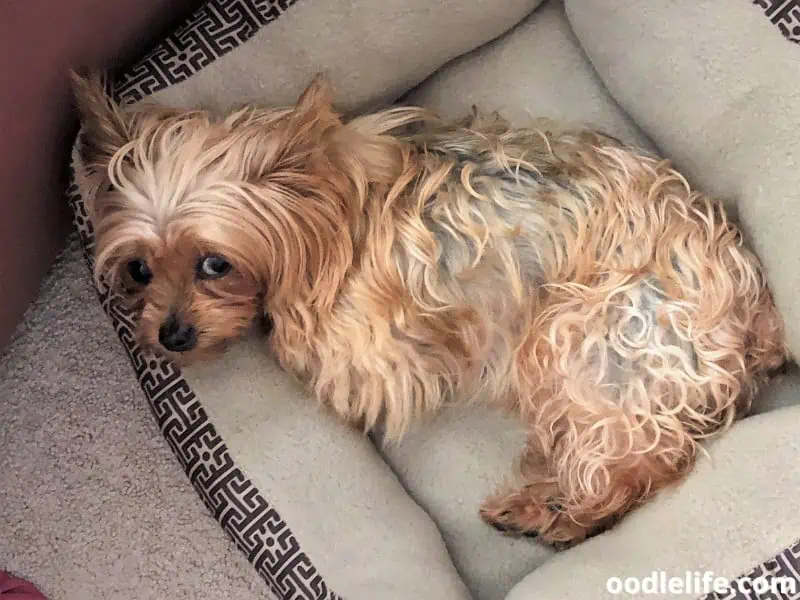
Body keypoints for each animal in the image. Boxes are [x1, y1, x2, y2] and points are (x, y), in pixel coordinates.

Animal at [73, 72, 788, 548]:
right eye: (139, 268)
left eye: (214, 264)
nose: (171, 335)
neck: (326, 223)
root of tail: (755, 313)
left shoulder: (373, 353)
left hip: (586, 335)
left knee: (635, 470)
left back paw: (549, 515)